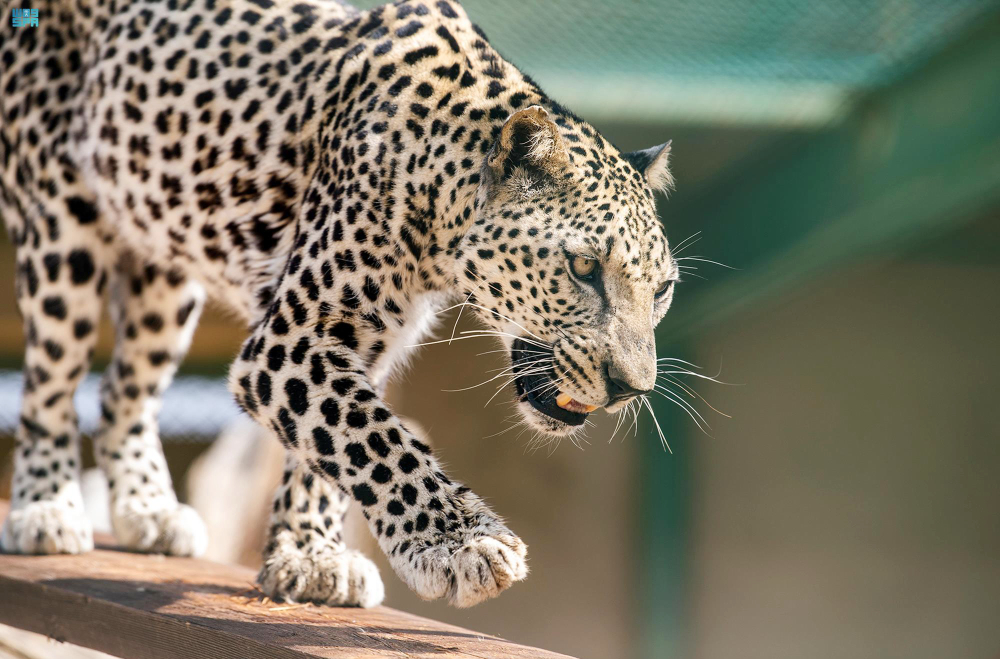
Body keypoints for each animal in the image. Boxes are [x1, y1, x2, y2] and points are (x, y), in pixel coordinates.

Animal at [0, 0, 680, 612]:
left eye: (663, 289)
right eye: (583, 268)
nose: (631, 388)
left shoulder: (363, 345)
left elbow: (327, 450)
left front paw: (309, 556)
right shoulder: (290, 342)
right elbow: (375, 438)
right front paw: (465, 544)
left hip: (159, 256)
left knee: (125, 387)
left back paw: (150, 512)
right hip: (61, 228)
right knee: (53, 380)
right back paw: (44, 507)